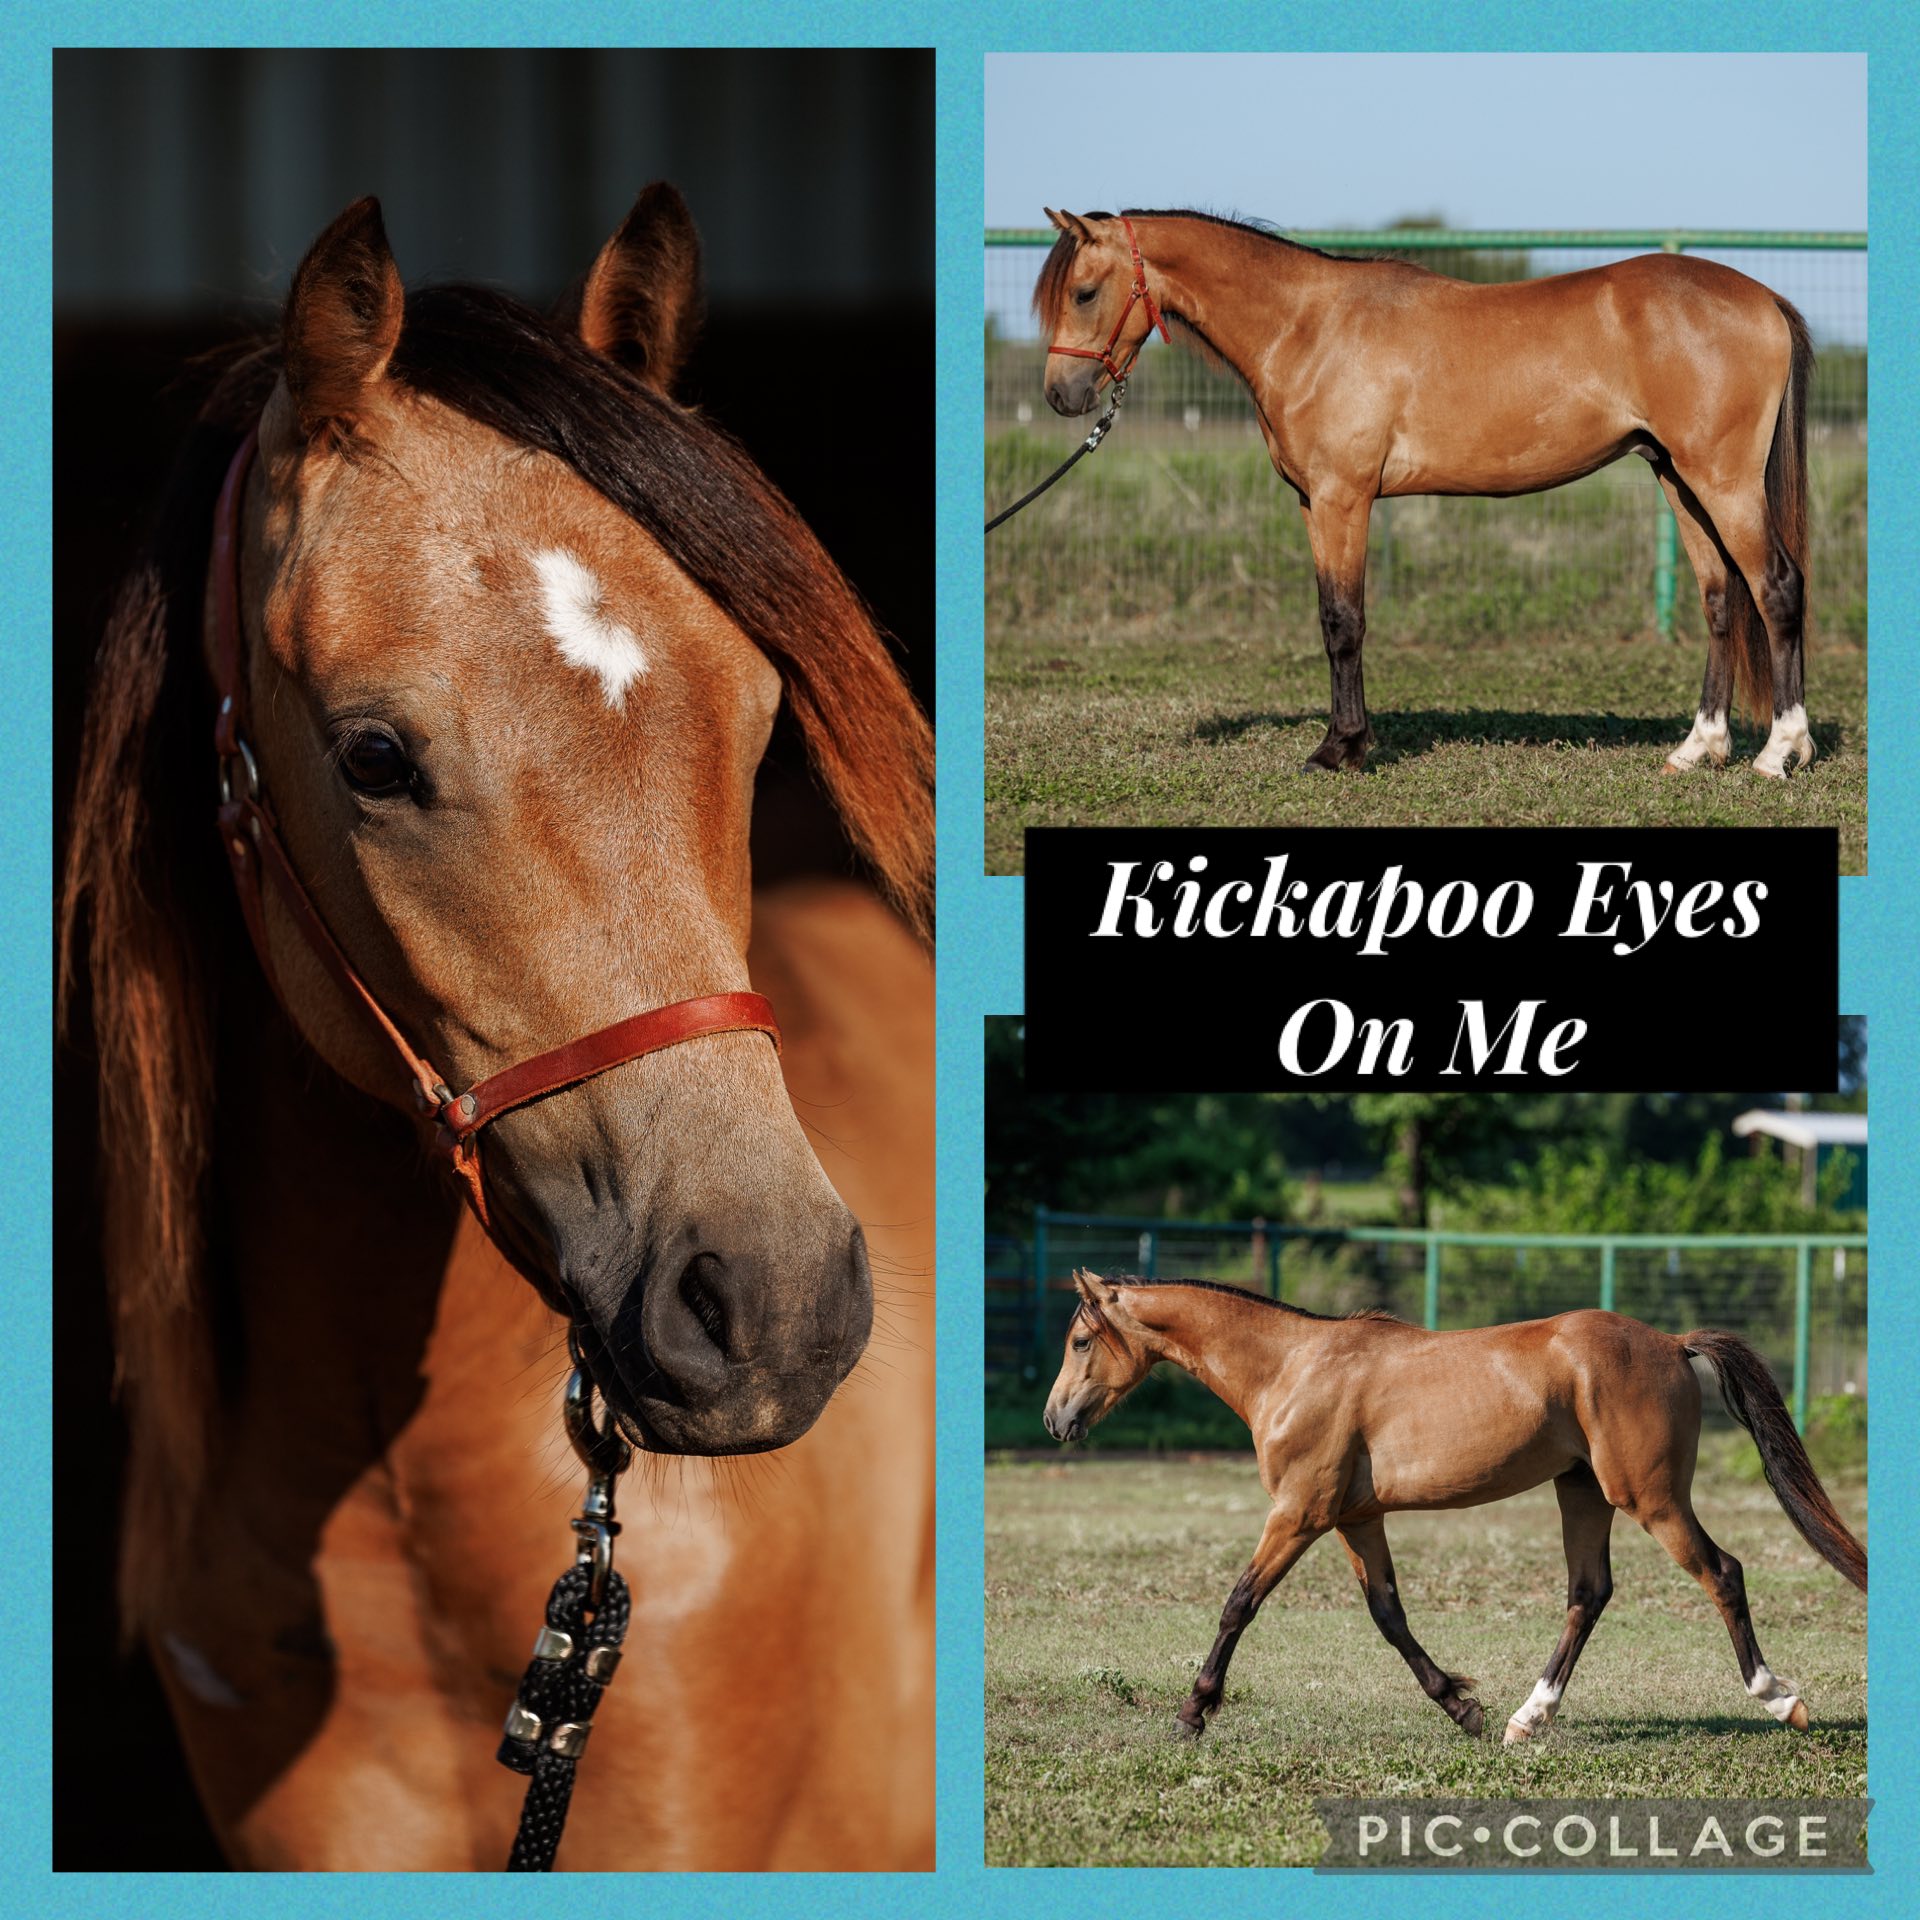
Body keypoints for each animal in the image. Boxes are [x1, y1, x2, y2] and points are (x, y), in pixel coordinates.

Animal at [1035, 208, 1818, 780]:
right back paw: (1698, 750)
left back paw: (1780, 753)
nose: (1060, 396)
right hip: (1679, 479)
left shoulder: (1343, 499)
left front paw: (1341, 749)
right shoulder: (1313, 505)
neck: (1308, 327)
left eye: (1083, 292)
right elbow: (1330, 618)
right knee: (1721, 600)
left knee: (1776, 588)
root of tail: (1765, 299)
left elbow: (1343, 622)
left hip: (1722, 481)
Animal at [1043, 1271, 1865, 1745]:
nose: (1056, 1421)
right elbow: (1388, 1615)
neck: (1292, 1368)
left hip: (1650, 1498)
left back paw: (1779, 1700)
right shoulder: (1355, 1519)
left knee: (1721, 1572)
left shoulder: (1299, 1514)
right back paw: (1527, 1719)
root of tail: (1669, 1341)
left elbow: (1239, 1603)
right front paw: (1460, 1707)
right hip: (1582, 1491)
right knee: (1588, 1593)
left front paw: (1193, 1712)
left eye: (1082, 1340)